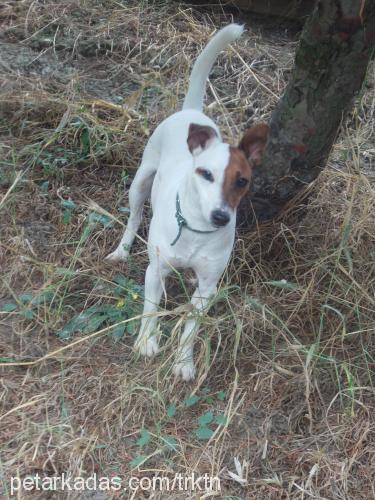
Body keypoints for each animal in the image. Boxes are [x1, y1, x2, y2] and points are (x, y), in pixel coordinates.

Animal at [107, 23, 268, 380]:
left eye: (242, 181)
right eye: (206, 173)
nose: (221, 217)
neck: (194, 230)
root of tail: (191, 111)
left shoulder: (208, 289)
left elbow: (191, 327)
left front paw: (183, 361)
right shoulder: (155, 272)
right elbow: (150, 309)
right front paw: (147, 342)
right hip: (140, 181)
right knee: (134, 216)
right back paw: (122, 249)